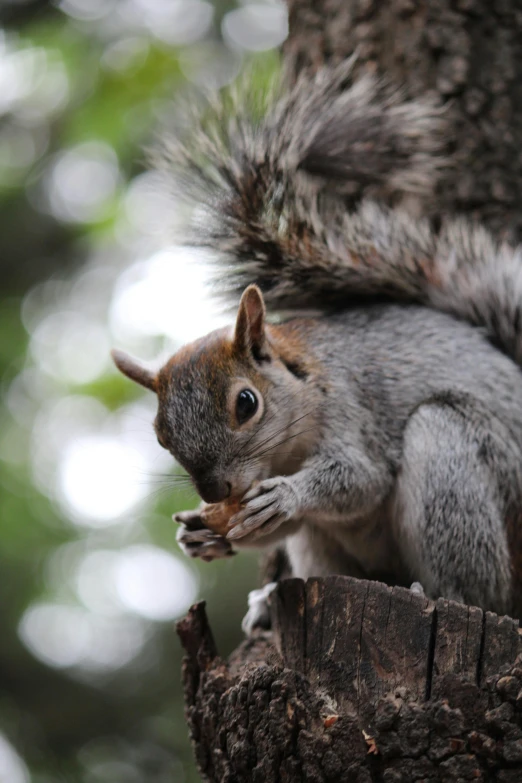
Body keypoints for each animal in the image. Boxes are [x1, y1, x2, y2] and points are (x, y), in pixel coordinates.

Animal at [111, 64, 520, 632]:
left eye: (246, 403)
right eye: (159, 433)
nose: (215, 494)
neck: (284, 451)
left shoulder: (352, 411)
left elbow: (361, 480)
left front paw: (289, 494)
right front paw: (203, 535)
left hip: (460, 462)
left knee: (482, 589)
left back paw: (436, 592)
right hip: (325, 545)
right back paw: (269, 602)